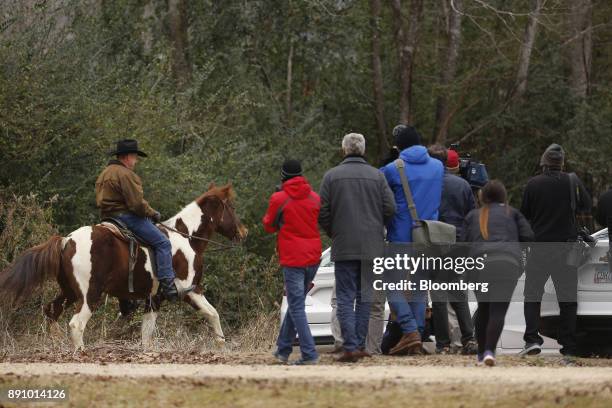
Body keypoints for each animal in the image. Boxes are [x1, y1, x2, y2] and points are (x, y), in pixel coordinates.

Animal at [1, 183, 249, 350]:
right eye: (231, 207)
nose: (243, 232)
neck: (187, 237)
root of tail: (66, 240)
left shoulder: (153, 299)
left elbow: (146, 333)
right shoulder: (190, 290)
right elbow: (213, 314)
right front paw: (221, 345)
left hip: (69, 292)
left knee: (52, 312)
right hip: (89, 295)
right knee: (76, 324)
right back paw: (80, 352)